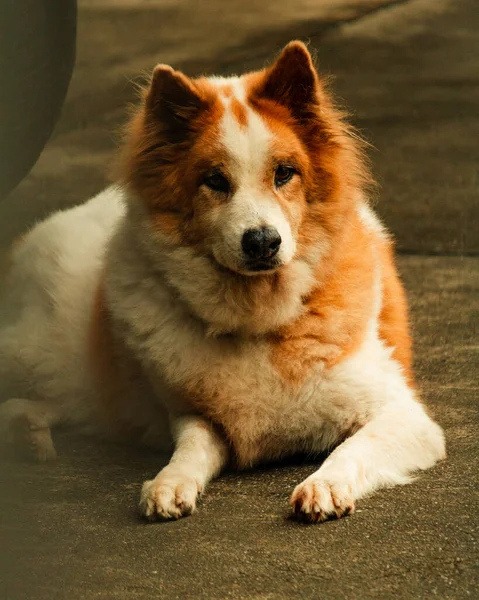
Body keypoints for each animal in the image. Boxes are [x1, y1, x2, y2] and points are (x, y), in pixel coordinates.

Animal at [0, 41, 446, 520]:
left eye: (283, 173)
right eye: (214, 180)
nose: (263, 242)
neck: (259, 319)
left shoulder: (403, 416)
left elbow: (352, 449)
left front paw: (325, 484)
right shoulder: (195, 416)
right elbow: (190, 448)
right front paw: (169, 482)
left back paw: (28, 434)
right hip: (37, 349)